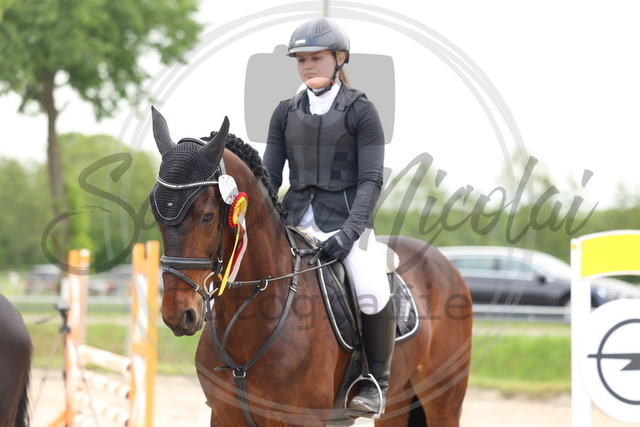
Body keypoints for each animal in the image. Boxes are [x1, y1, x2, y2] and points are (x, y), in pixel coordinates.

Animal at [150, 107, 473, 426]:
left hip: (443, 400)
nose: (178, 315)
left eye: (207, 216)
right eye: (156, 215)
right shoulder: (224, 415)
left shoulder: (305, 419)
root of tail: (444, 263)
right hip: (399, 403)